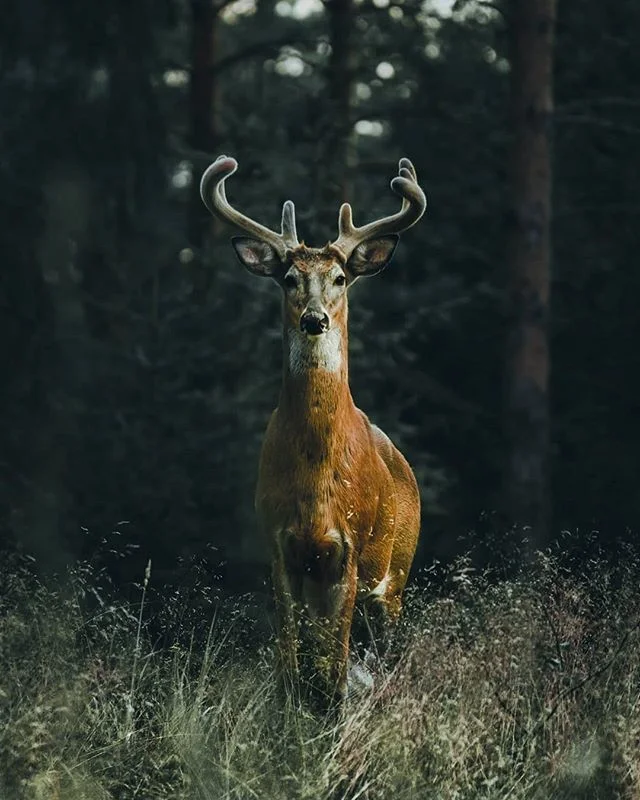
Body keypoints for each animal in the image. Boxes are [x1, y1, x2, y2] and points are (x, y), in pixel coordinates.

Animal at [200, 155, 426, 708]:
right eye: (287, 278)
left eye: (341, 277)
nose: (315, 319)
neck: (316, 484)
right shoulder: (279, 545)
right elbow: (291, 666)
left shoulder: (349, 548)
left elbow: (336, 673)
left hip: (396, 578)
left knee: (378, 660)